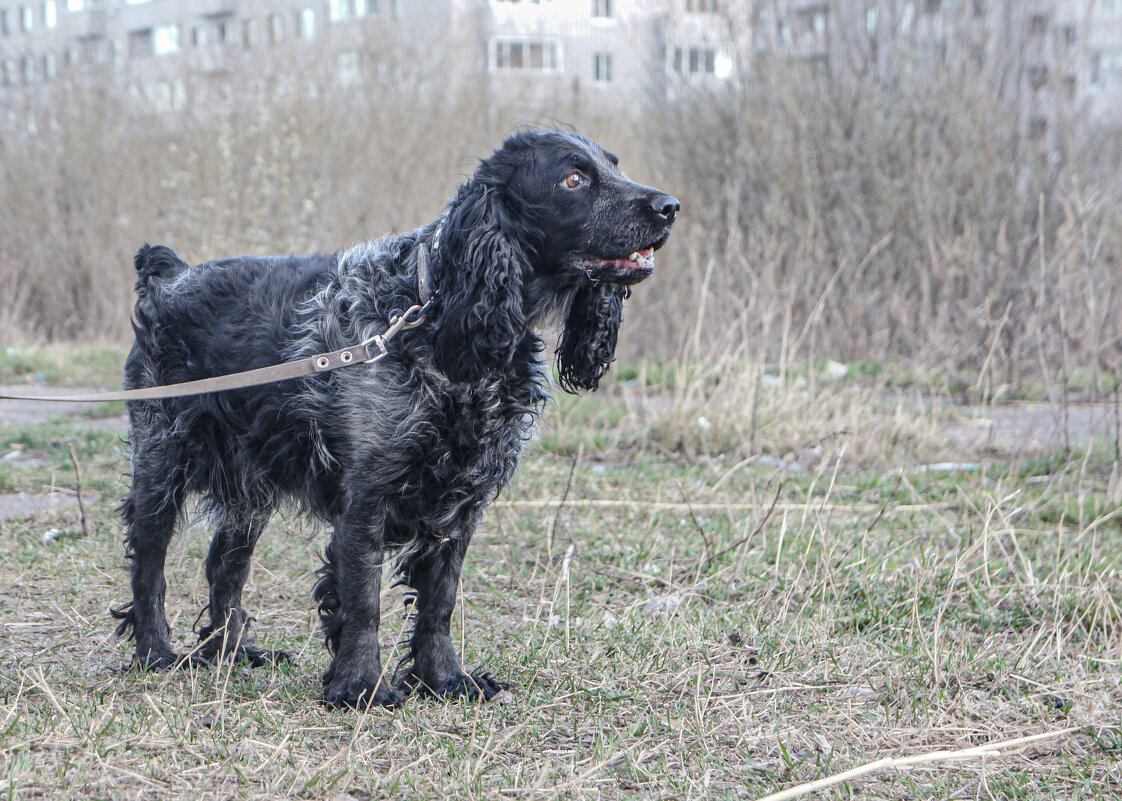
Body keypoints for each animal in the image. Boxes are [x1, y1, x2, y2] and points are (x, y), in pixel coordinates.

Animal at [111, 129, 673, 704]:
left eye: (614, 165)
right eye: (574, 178)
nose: (669, 207)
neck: (437, 320)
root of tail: (170, 276)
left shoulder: (460, 504)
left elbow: (439, 603)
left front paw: (445, 678)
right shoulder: (366, 500)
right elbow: (362, 601)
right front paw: (361, 685)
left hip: (251, 488)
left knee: (224, 564)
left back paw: (231, 650)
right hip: (162, 462)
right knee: (149, 563)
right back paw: (156, 652)